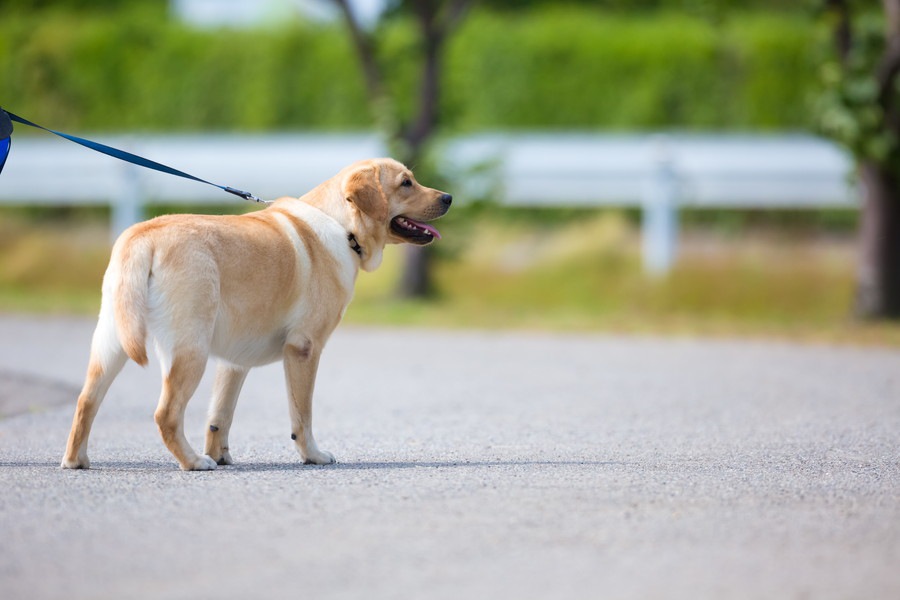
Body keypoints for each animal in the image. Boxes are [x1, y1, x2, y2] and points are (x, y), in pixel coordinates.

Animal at [61, 158, 450, 468]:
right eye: (406, 183)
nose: (448, 197)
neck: (343, 226)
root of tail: (143, 235)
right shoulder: (304, 349)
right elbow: (302, 415)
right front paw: (313, 455)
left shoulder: (234, 362)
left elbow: (220, 416)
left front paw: (221, 455)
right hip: (190, 351)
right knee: (166, 414)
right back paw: (194, 462)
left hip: (111, 345)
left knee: (85, 401)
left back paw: (76, 461)